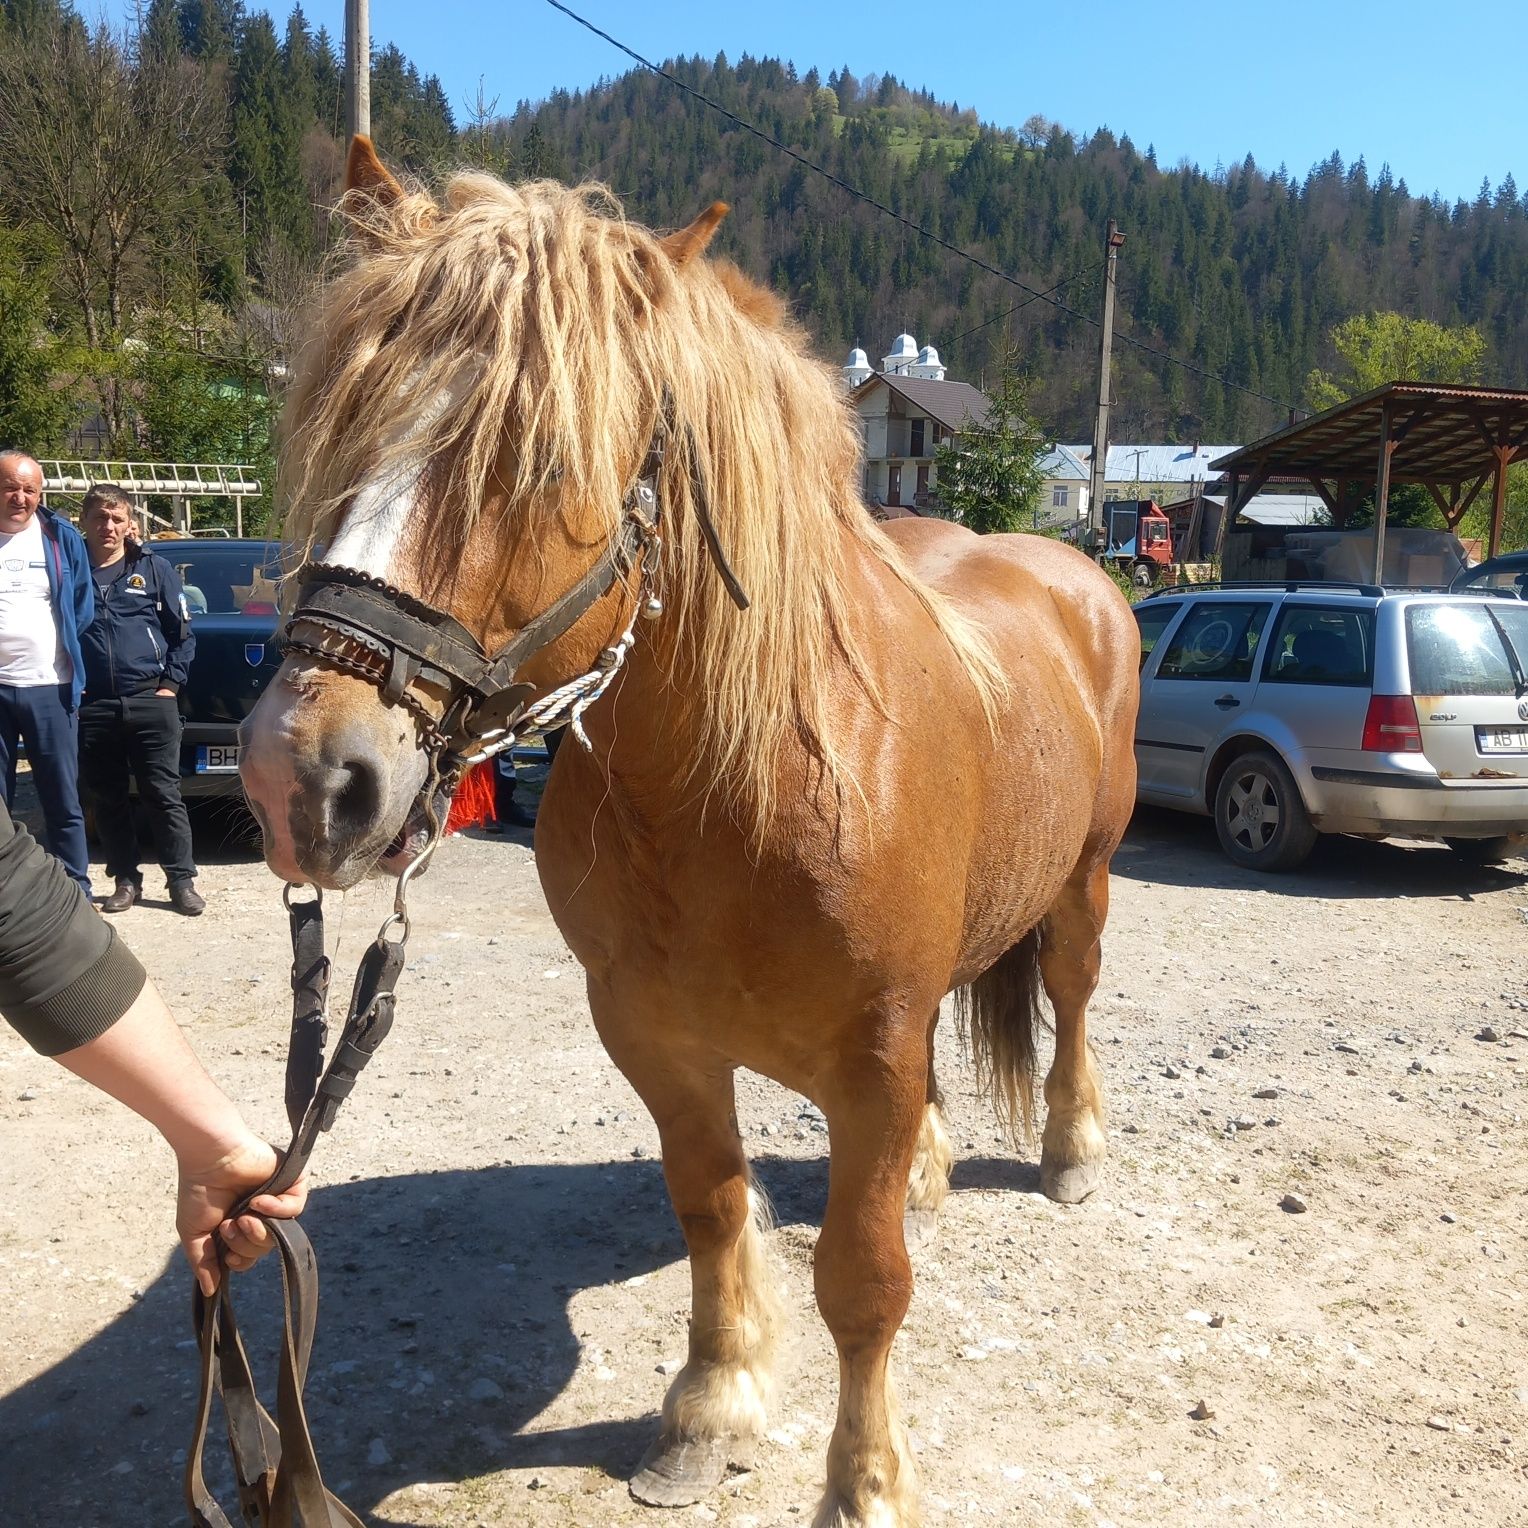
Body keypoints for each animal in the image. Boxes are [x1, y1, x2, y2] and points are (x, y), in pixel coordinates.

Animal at [238, 137, 1142, 1521]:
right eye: (339, 431)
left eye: (544, 462)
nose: (301, 778)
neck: (740, 790)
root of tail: (1075, 571)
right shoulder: (655, 1036)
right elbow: (712, 1210)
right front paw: (710, 1409)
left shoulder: (870, 1059)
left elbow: (862, 1281)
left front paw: (864, 1481)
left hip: (1083, 884)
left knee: (1075, 999)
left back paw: (1071, 1149)